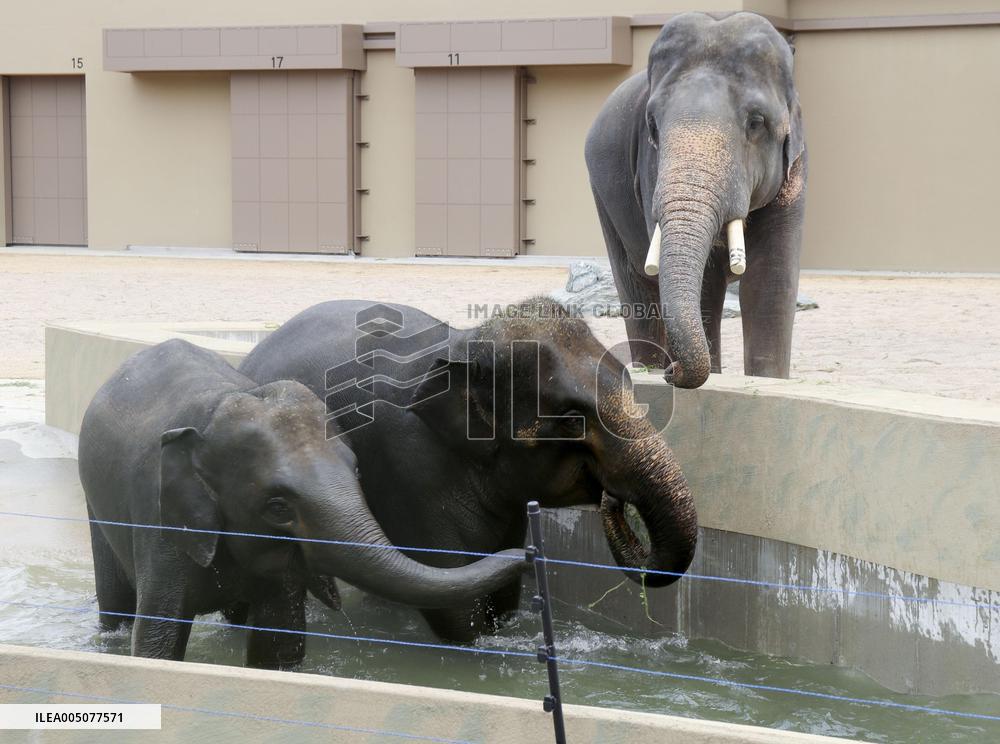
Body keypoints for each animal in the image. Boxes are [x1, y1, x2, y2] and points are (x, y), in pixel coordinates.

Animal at [77, 339, 526, 668]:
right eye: (277, 507)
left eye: (358, 471)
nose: (523, 551)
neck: (221, 406)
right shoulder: (160, 524)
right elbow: (158, 642)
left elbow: (280, 643)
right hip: (95, 506)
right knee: (116, 603)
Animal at [239, 297, 698, 642]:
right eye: (570, 420)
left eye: (630, 384)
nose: (613, 499)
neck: (465, 345)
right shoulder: (406, 468)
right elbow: (453, 603)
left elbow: (502, 591)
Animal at [585, 12, 806, 389]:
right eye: (652, 126)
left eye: (756, 122)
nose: (672, 372)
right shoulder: (649, 169)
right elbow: (707, 285)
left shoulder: (796, 171)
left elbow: (770, 281)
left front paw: (768, 381)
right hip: (602, 195)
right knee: (636, 289)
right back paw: (648, 367)